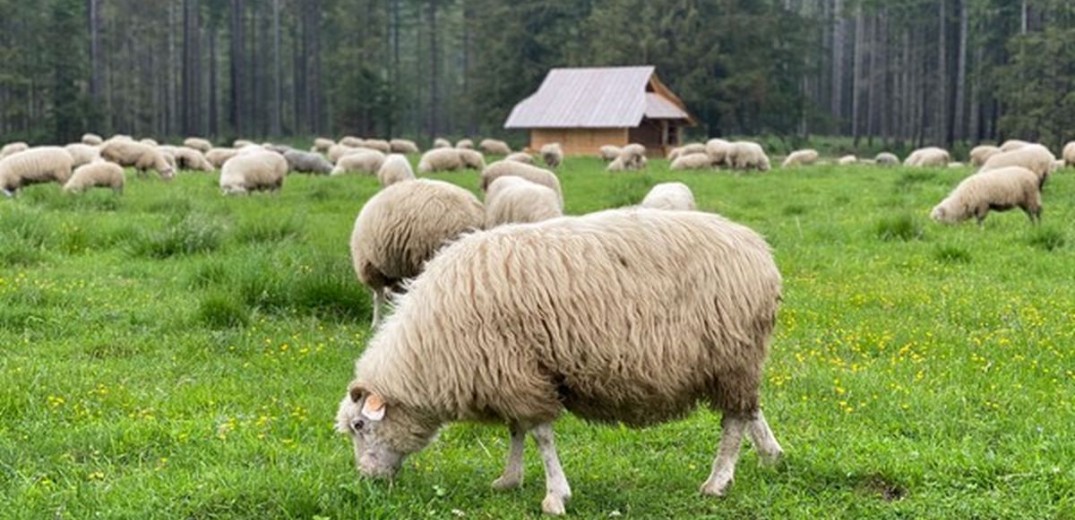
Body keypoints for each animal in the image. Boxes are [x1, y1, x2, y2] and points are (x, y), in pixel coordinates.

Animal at [339, 207, 786, 515]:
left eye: (360, 426)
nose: (366, 480)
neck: (429, 349)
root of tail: (758, 250)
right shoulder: (511, 374)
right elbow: (517, 430)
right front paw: (509, 479)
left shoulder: (520, 373)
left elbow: (540, 436)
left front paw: (554, 496)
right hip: (733, 359)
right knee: (750, 409)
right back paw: (772, 456)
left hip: (731, 353)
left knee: (734, 421)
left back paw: (718, 481)